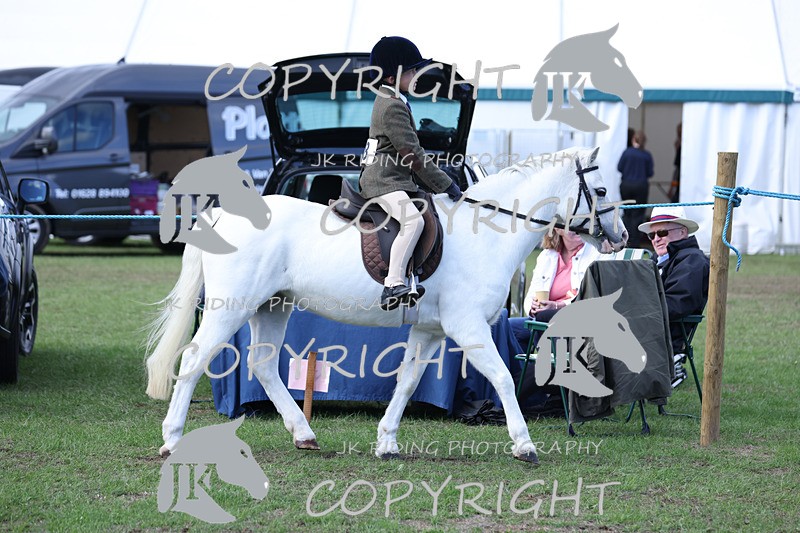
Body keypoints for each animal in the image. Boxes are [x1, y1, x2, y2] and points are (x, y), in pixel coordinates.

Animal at [145, 146, 628, 465]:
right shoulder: (468, 327)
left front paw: (387, 442)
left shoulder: (431, 330)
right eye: (602, 188)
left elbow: (408, 382)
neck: (484, 233)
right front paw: (524, 445)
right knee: (194, 360)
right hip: (233, 308)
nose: (621, 237)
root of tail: (218, 215)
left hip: (273, 306)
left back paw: (304, 435)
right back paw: (172, 439)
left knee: (263, 366)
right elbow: (504, 379)